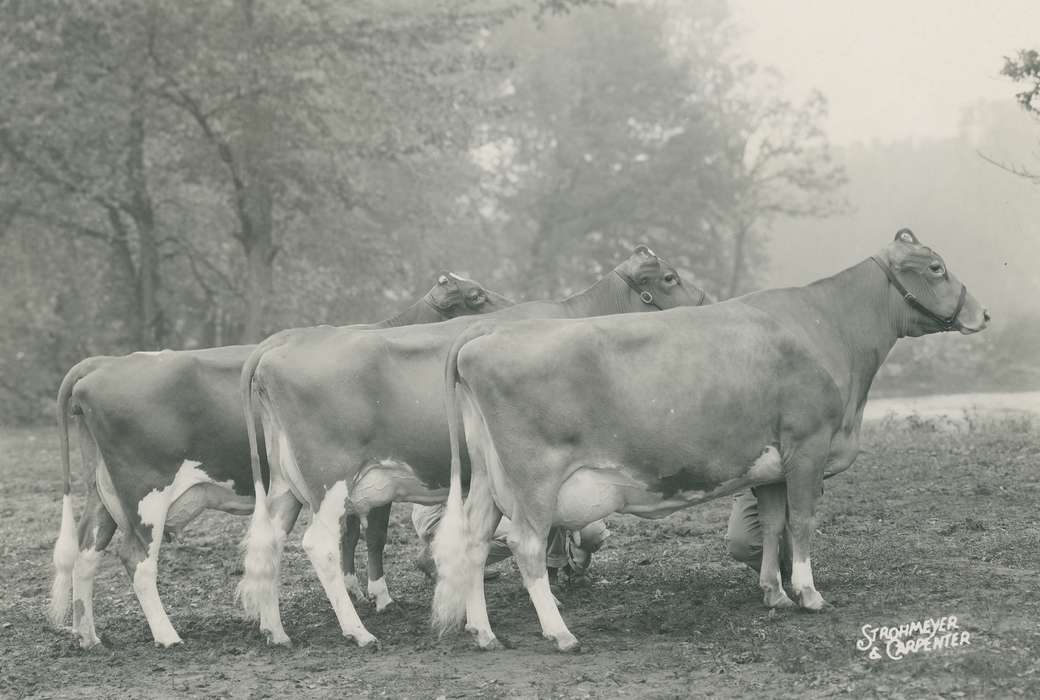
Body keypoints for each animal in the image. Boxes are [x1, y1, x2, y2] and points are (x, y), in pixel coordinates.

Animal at [48, 272, 510, 649]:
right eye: (476, 295)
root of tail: (101, 365)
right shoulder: (378, 481)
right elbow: (370, 536)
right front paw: (378, 598)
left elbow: (352, 536)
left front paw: (360, 589)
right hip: (148, 491)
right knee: (137, 558)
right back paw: (168, 636)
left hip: (106, 493)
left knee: (87, 551)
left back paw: (88, 635)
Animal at [237, 246, 709, 647]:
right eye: (670, 277)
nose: (706, 302)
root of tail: (280, 343)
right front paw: (551, 598)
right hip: (328, 478)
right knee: (318, 545)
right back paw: (359, 632)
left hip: (286, 483)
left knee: (269, 541)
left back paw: (276, 631)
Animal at [431, 230, 989, 652]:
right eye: (936, 268)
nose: (982, 315)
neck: (826, 325)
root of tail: (484, 334)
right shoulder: (807, 445)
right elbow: (802, 523)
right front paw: (809, 594)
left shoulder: (770, 464)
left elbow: (773, 525)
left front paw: (774, 593)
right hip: (534, 480)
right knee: (524, 547)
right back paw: (559, 633)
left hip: (489, 480)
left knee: (475, 541)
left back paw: (484, 633)